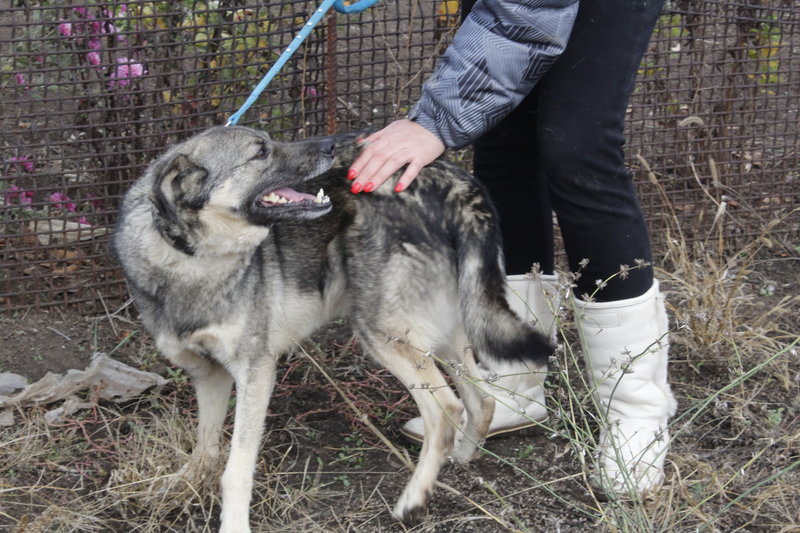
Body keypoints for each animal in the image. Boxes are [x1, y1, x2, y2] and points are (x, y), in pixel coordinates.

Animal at [111, 125, 552, 532]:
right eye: (260, 152)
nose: (328, 146)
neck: (189, 258)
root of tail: (449, 175)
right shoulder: (209, 376)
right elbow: (205, 447)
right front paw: (183, 485)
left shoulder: (256, 372)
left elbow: (235, 470)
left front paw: (233, 525)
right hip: (447, 333)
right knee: (482, 399)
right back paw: (461, 458)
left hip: (384, 333)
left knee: (446, 410)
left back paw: (413, 500)